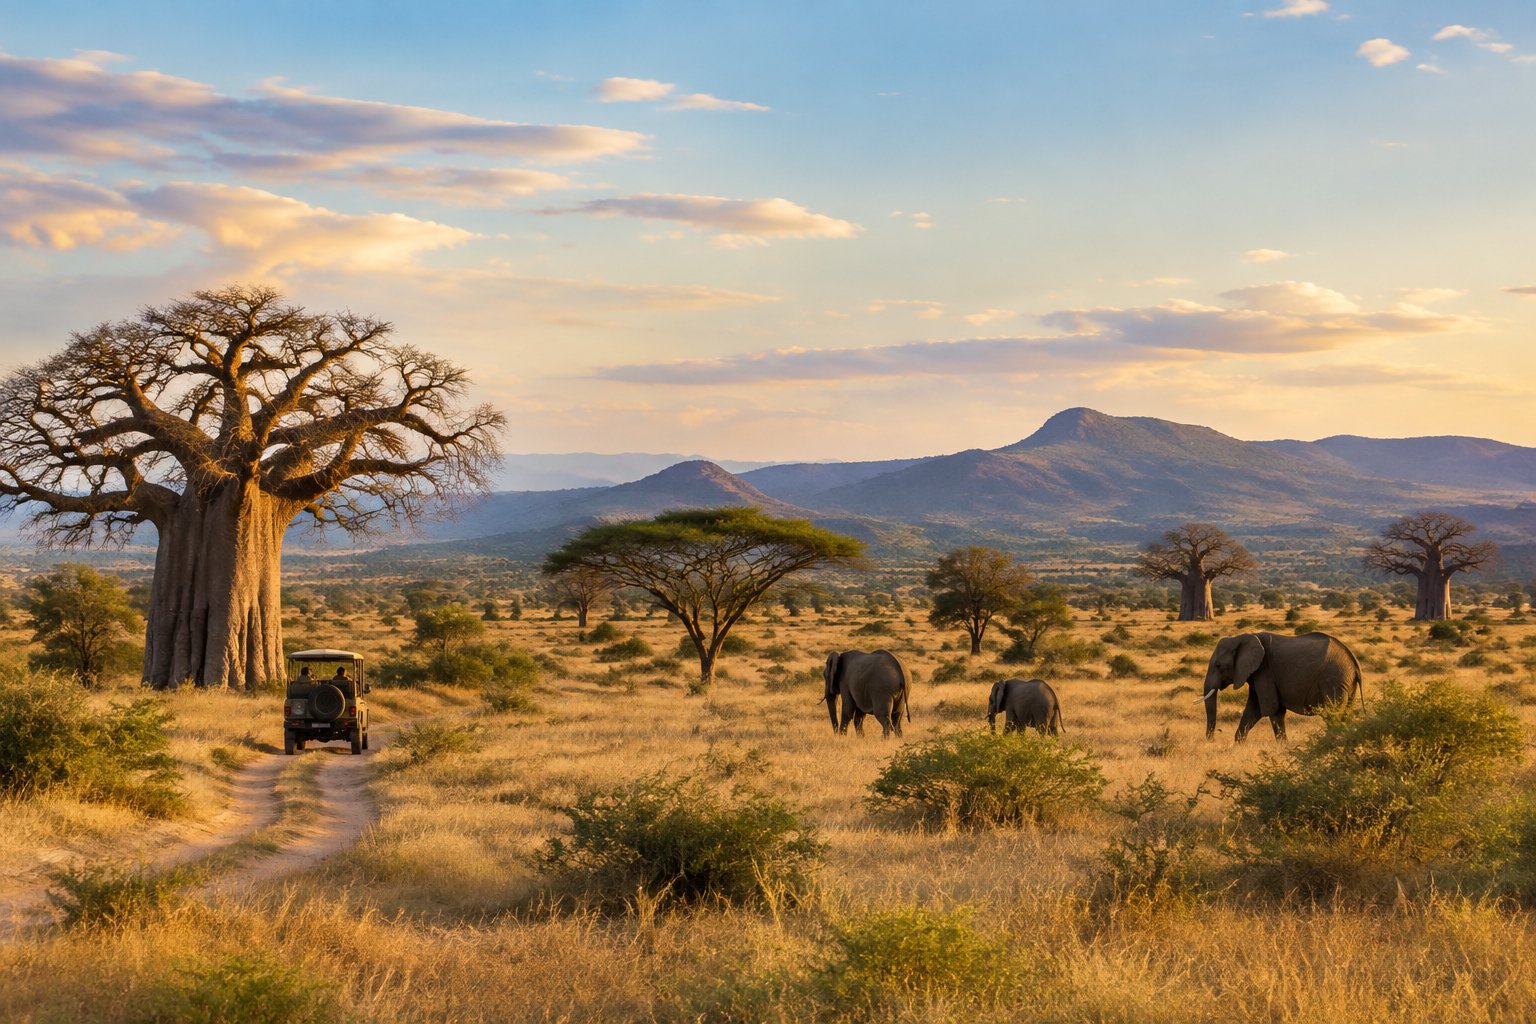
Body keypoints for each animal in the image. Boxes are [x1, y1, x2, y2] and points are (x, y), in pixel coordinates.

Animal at [1200, 631, 1363, 742]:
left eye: (1218, 665)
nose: (1213, 739)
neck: (1243, 637)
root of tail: (1355, 664)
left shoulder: (1265, 670)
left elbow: (1273, 709)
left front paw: (1283, 748)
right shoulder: (1257, 674)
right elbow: (1253, 710)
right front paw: (1238, 745)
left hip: (1333, 680)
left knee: (1332, 716)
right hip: (1345, 683)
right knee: (1344, 715)